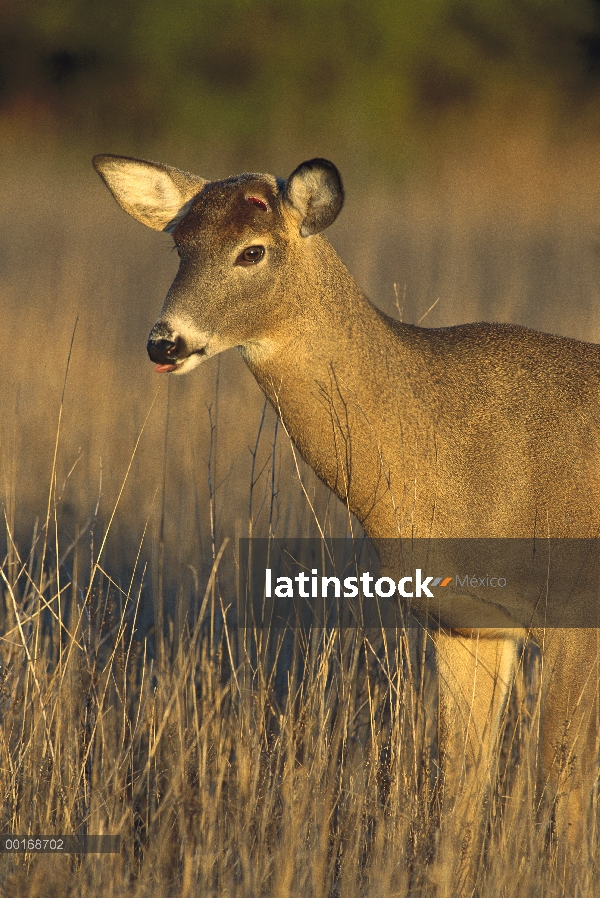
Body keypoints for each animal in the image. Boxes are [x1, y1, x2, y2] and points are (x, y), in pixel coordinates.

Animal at [95, 156, 600, 880]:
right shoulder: (465, 624)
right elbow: (461, 783)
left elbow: (563, 782)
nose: (164, 343)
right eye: (179, 246)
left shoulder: (577, 610)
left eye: (253, 251)